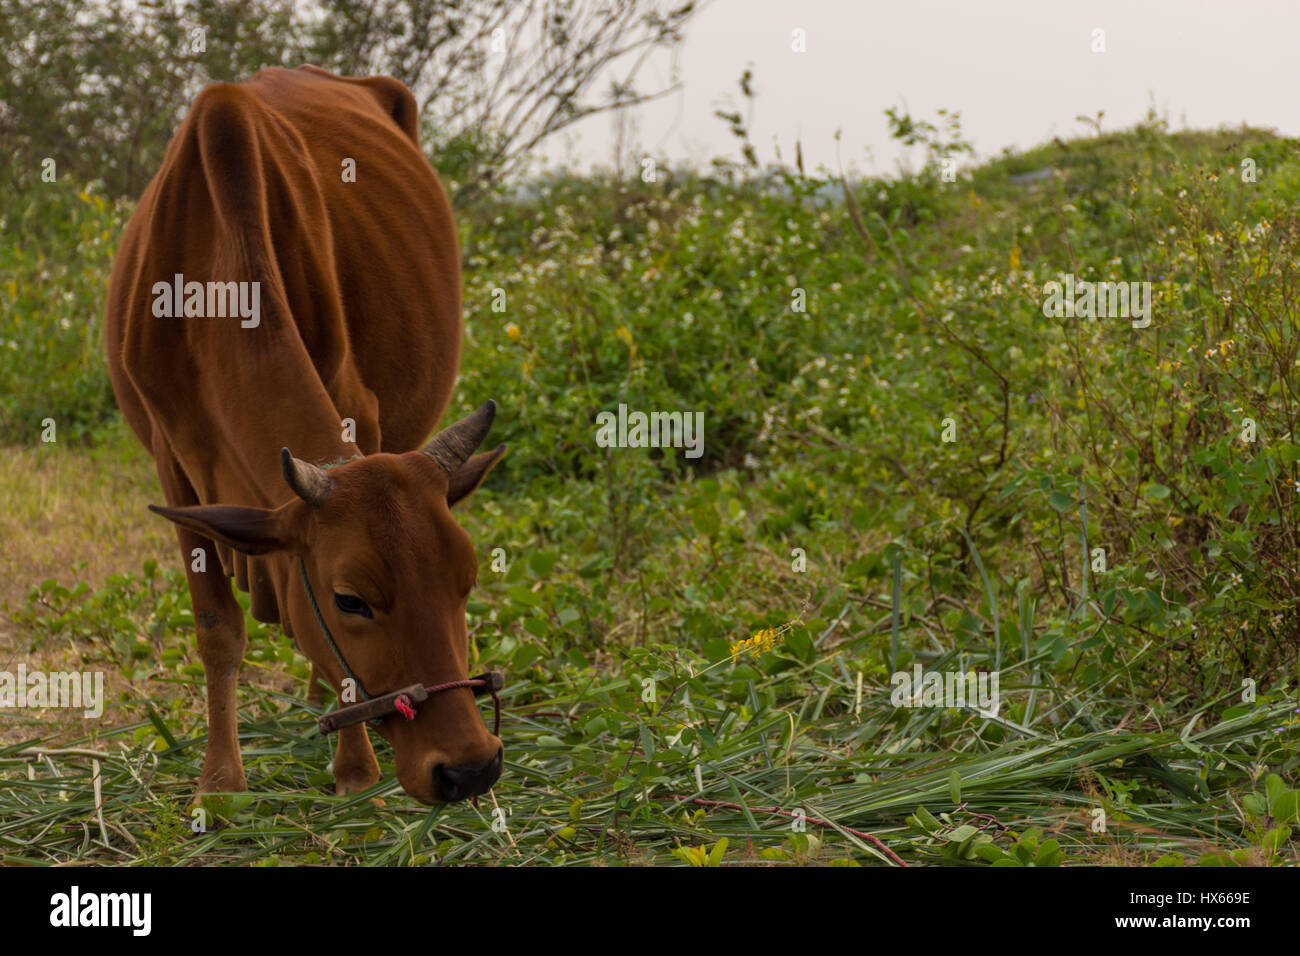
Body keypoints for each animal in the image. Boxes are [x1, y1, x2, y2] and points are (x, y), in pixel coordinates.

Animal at [104, 65, 506, 804]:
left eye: (467, 579)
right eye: (350, 599)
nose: (470, 767)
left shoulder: (360, 413)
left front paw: (354, 771)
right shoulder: (174, 468)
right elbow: (217, 628)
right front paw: (219, 783)